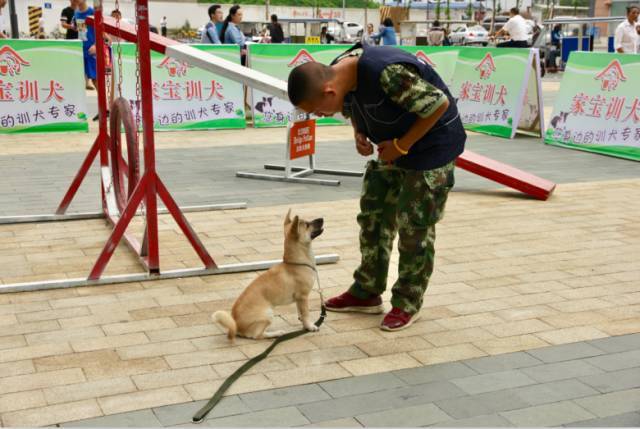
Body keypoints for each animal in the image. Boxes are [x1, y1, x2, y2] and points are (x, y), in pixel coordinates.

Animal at [215, 209, 324, 340]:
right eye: (307, 224)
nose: (322, 218)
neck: (296, 262)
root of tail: (236, 326)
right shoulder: (303, 297)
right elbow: (306, 313)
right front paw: (310, 326)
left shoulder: (299, 299)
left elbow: (301, 313)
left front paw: (304, 325)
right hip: (268, 314)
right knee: (257, 335)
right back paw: (276, 333)